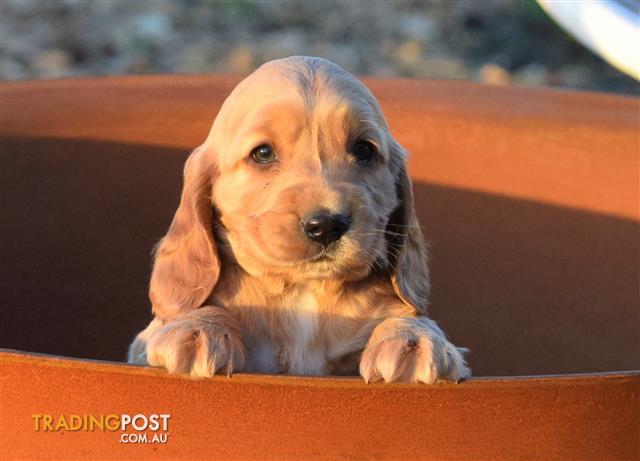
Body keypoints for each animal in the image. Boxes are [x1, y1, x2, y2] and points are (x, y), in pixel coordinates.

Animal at [127, 55, 468, 382]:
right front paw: (197, 330)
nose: (326, 225)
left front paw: (412, 339)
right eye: (263, 153)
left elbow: (408, 317)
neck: (304, 292)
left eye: (364, 150)